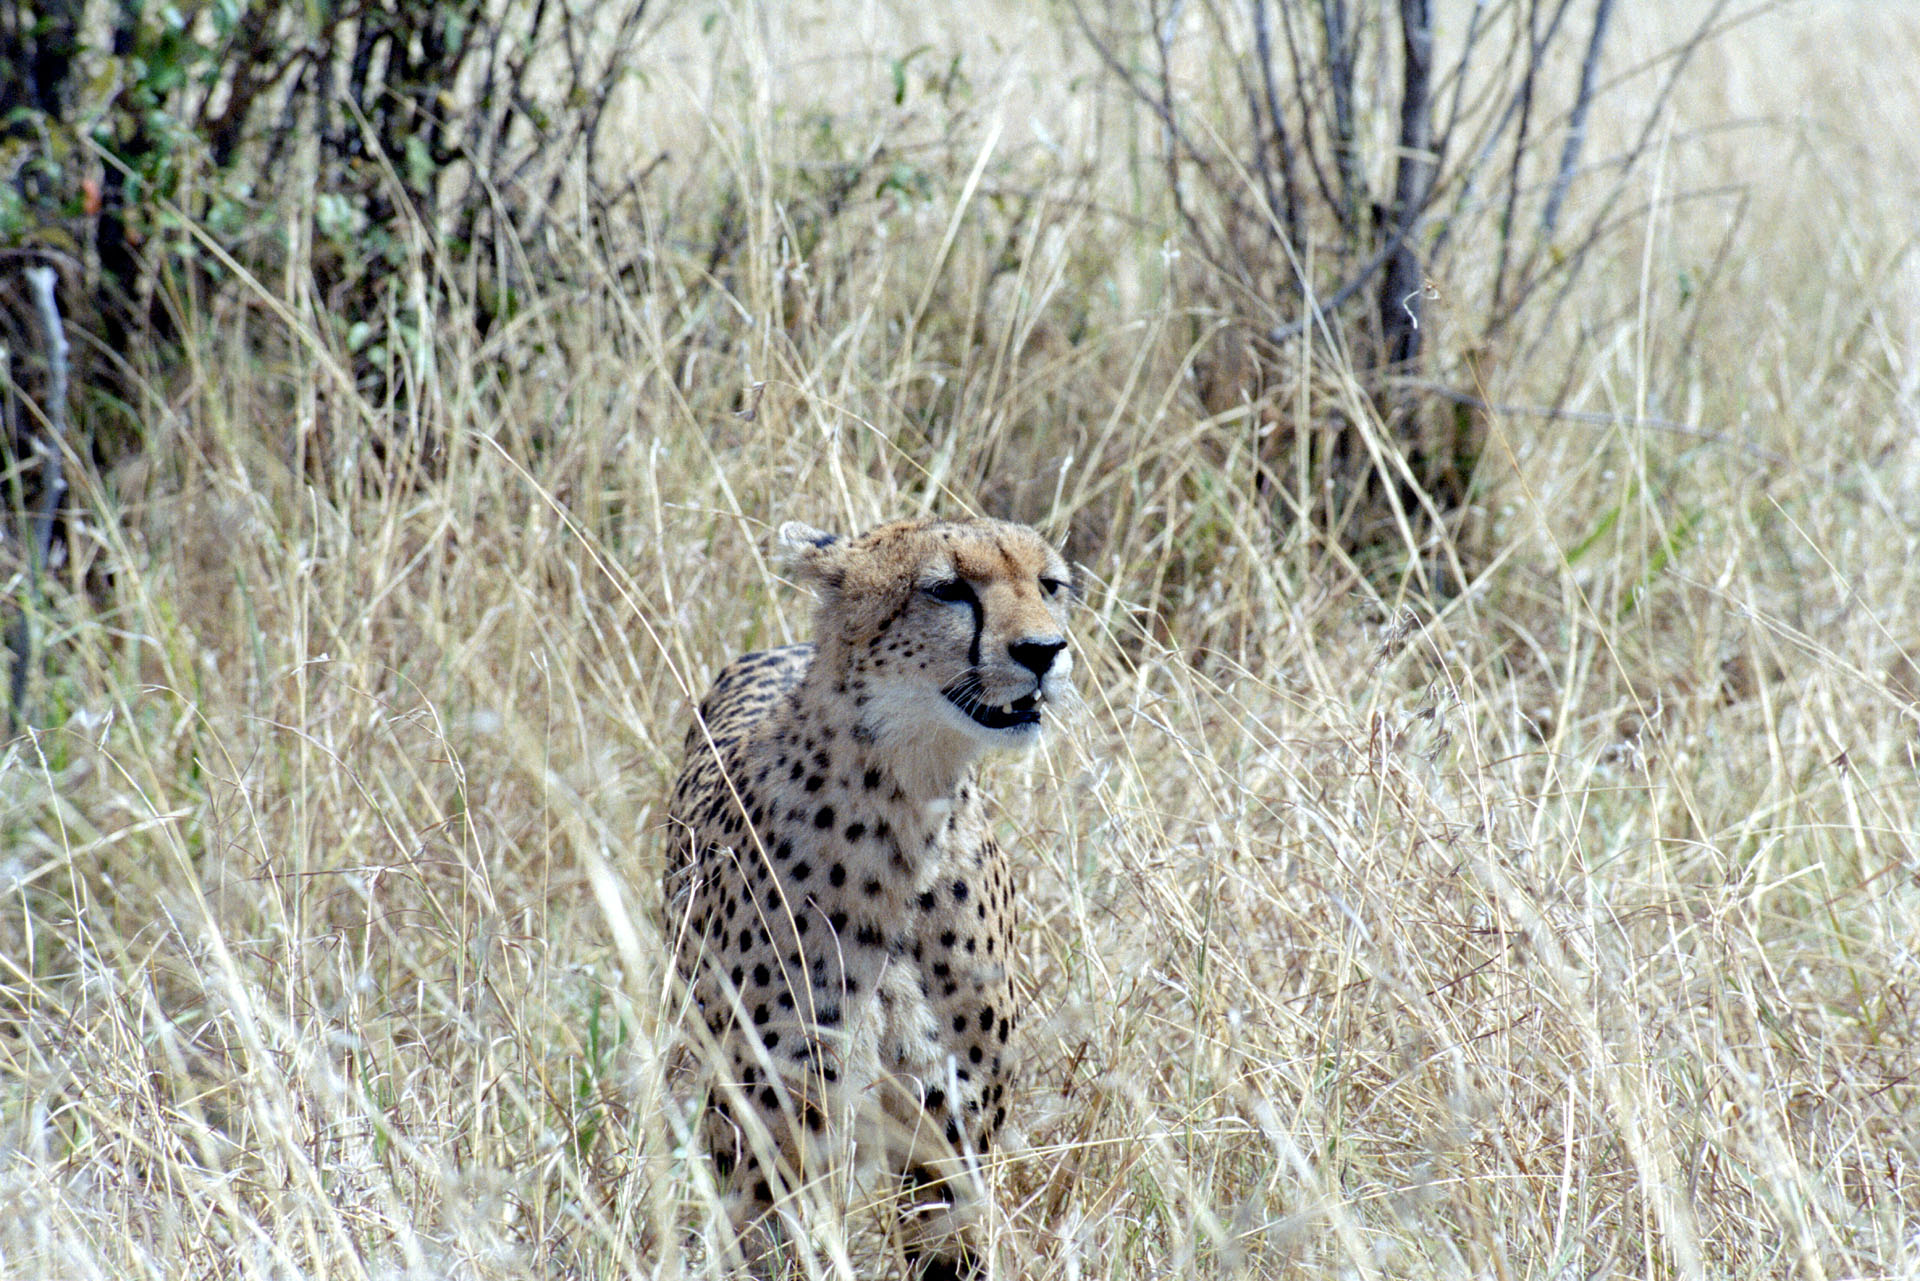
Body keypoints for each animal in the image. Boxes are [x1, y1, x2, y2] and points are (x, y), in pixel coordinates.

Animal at [668, 514, 1075, 1275]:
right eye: (948, 589)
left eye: (1049, 585)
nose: (1045, 651)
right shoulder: (776, 1128)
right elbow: (772, 1242)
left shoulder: (952, 1129)